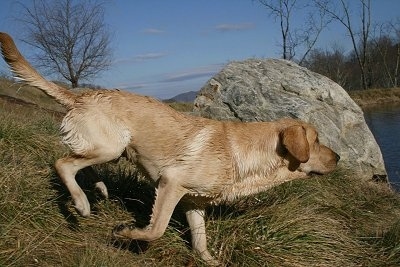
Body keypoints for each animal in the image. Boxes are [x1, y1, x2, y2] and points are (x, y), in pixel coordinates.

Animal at [0, 32, 338, 264]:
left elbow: (201, 243)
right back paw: (82, 203)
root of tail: (81, 96)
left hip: (112, 150)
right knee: (63, 164)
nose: (337, 157)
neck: (243, 154)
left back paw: (97, 190)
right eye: (317, 141)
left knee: (80, 163)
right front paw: (126, 233)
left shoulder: (194, 204)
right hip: (110, 147)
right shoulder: (171, 184)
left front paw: (210, 261)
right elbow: (156, 229)